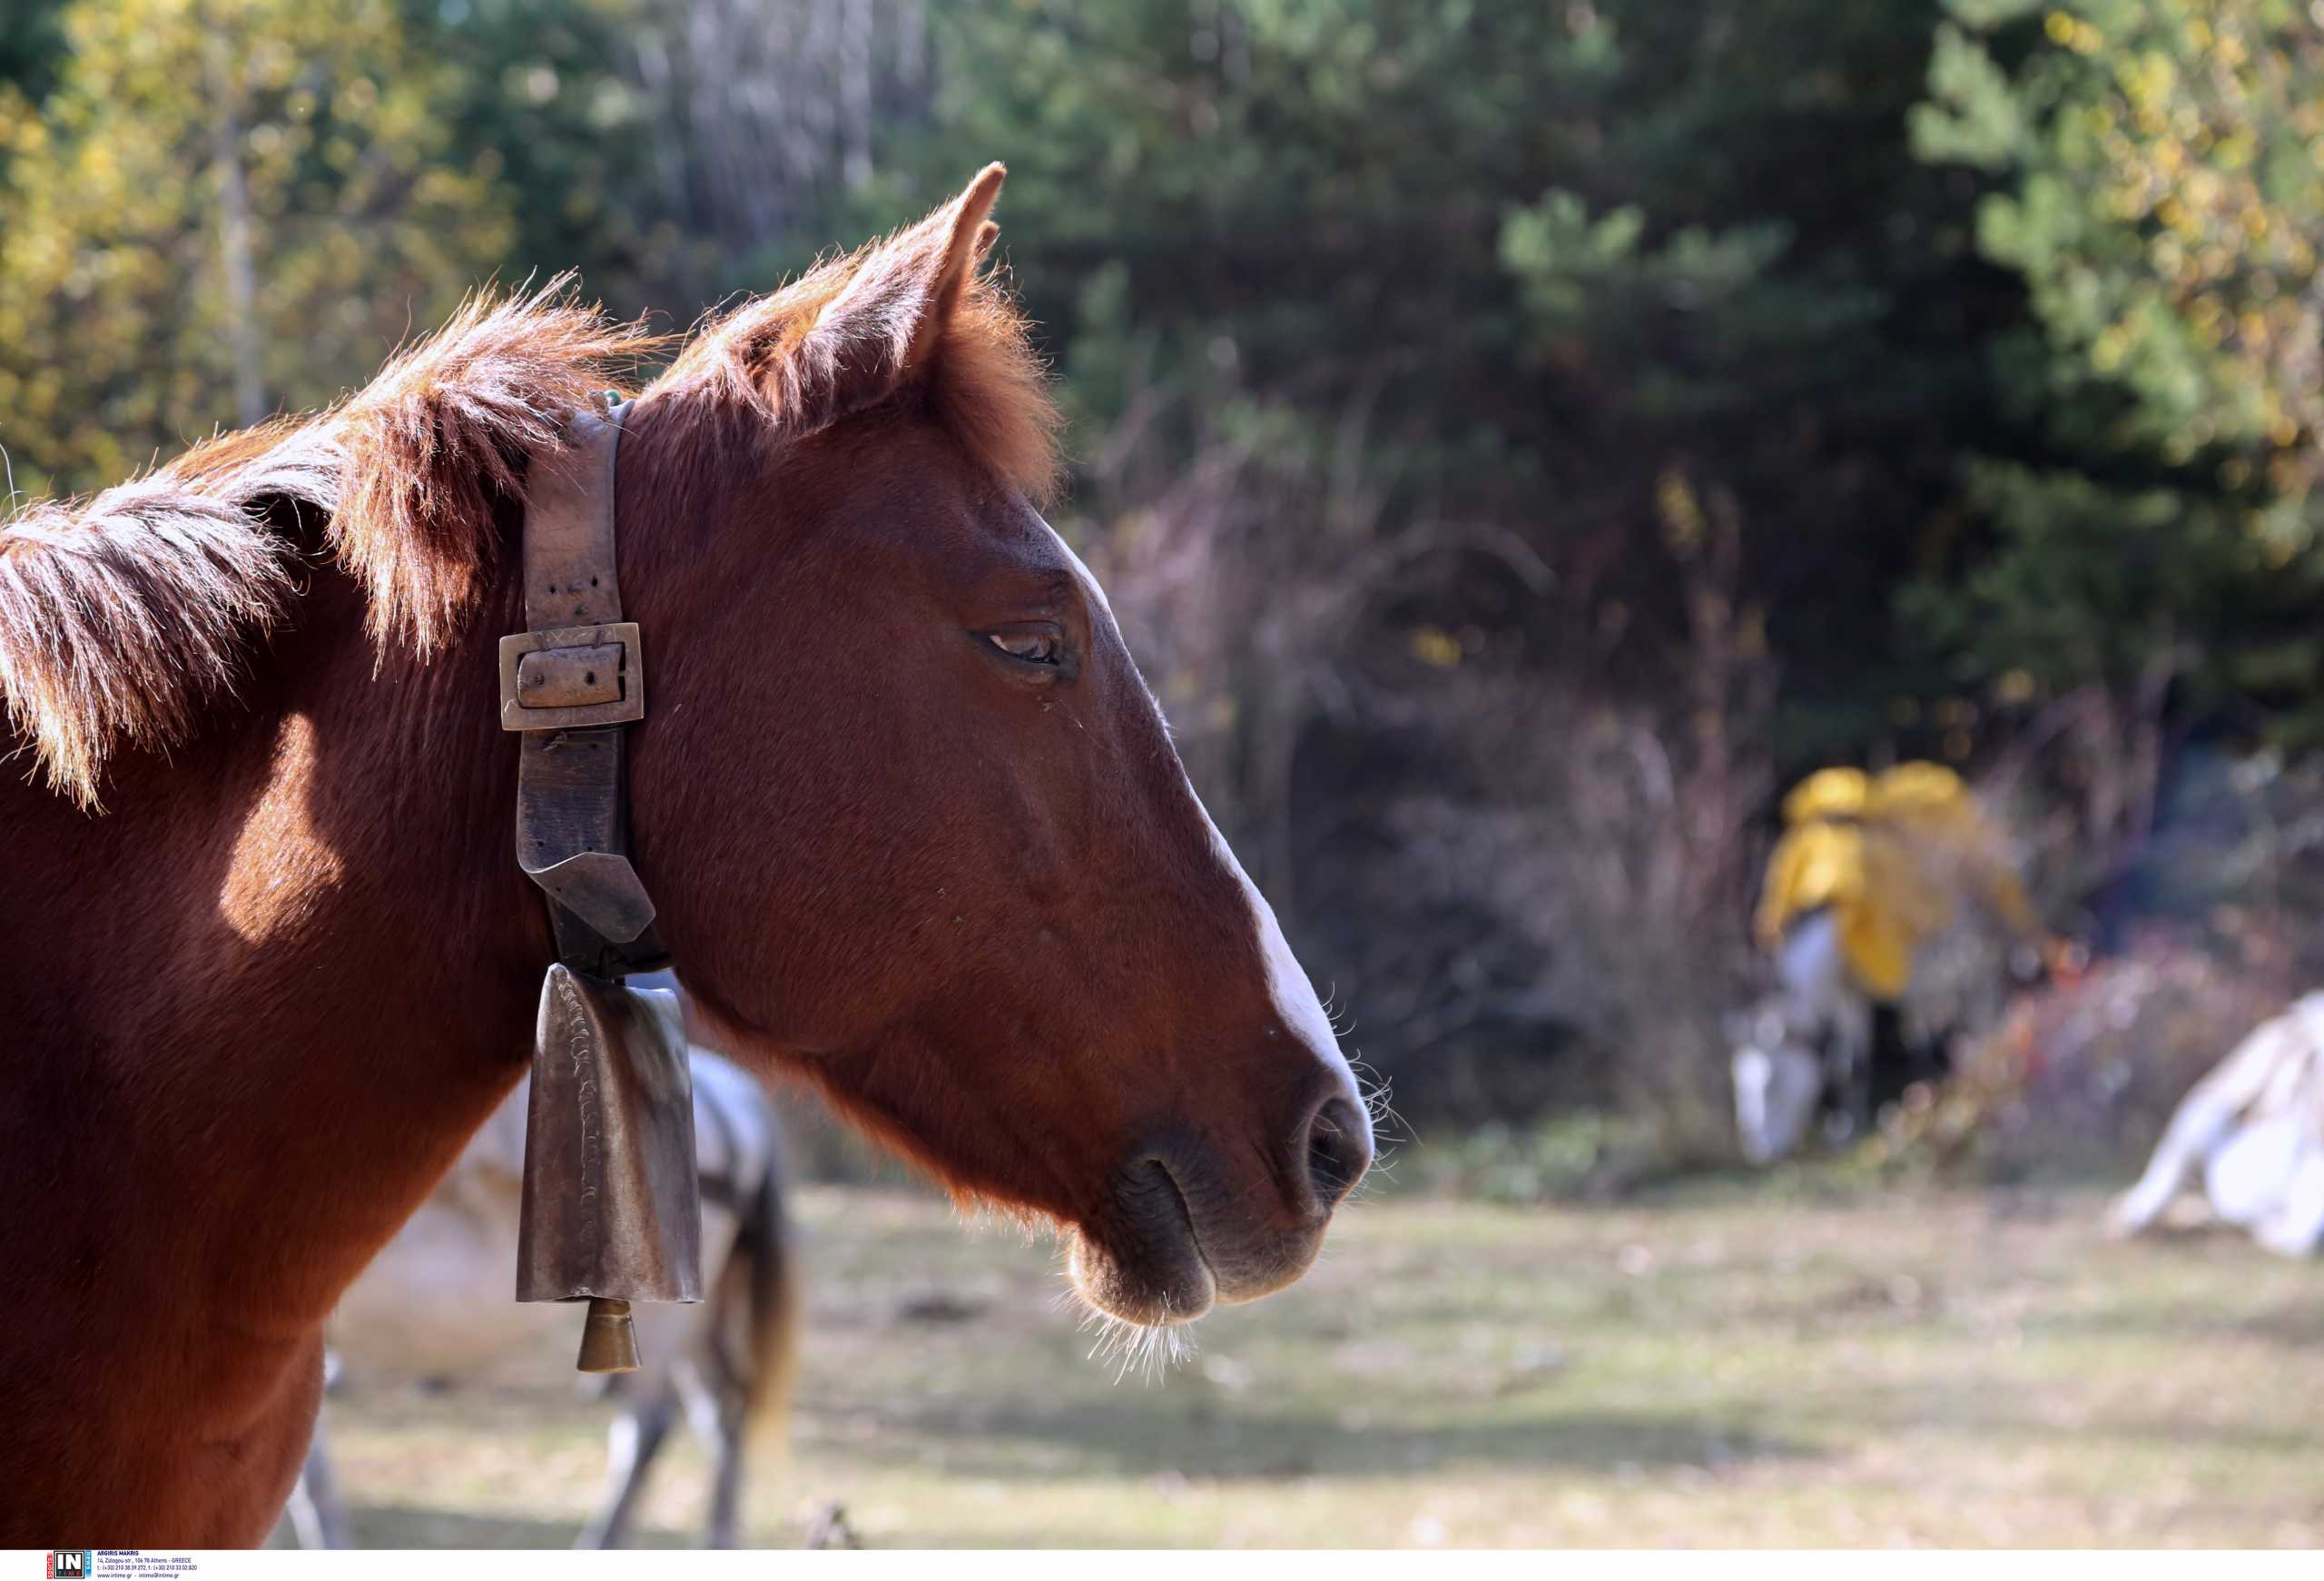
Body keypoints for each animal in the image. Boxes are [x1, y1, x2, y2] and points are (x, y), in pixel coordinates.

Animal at [284, 1036, 799, 1544]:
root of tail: (731, 1099)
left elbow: (306, 1477)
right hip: (695, 1315)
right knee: (722, 1410)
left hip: (668, 1315)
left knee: (648, 1427)